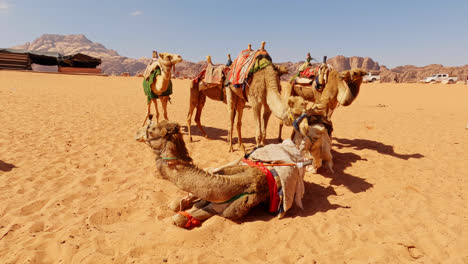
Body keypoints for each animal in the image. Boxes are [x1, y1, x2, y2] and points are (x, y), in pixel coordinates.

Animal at [135, 120, 310, 228]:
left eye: (151, 129)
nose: (136, 132)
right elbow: (183, 204)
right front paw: (182, 202)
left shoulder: (223, 208)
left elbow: (179, 218)